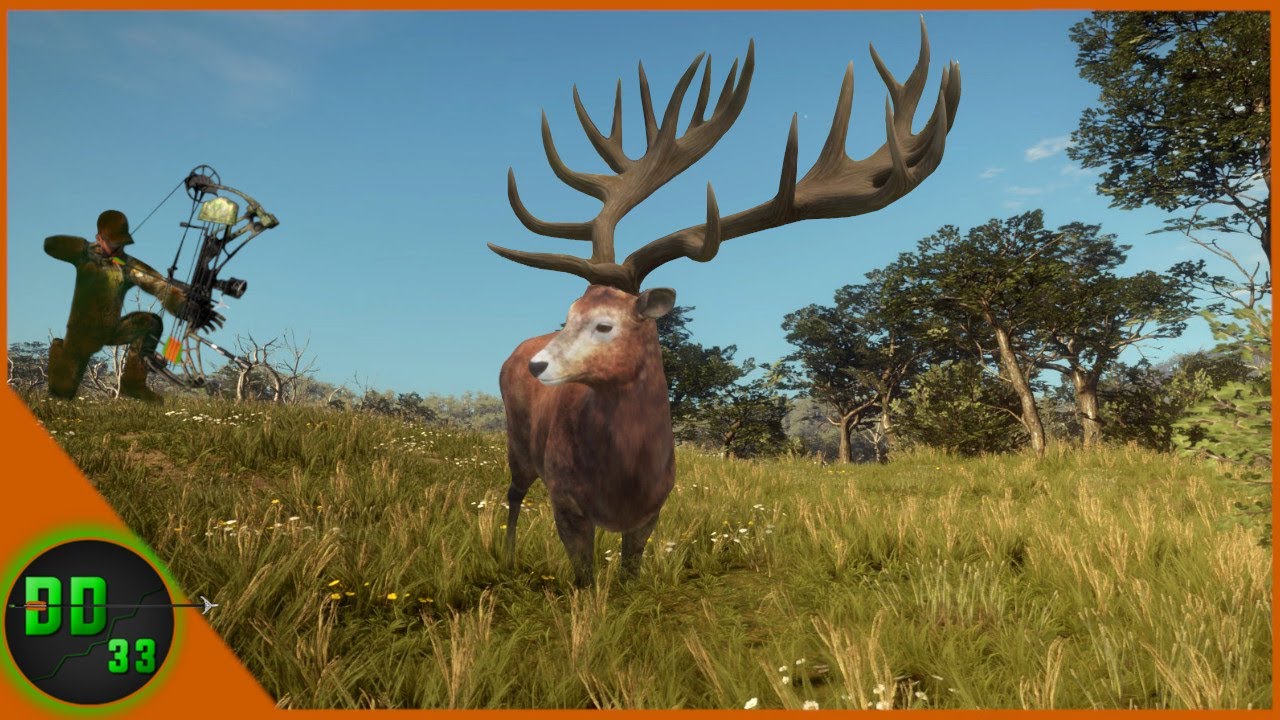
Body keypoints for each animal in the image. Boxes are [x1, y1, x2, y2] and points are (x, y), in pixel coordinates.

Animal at [492, 18, 961, 587]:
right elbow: (583, 580)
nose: (538, 365)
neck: (623, 479)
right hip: (518, 447)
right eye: (567, 316)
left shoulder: (652, 512)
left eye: (604, 324)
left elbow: (628, 576)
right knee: (513, 494)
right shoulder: (566, 502)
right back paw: (506, 557)